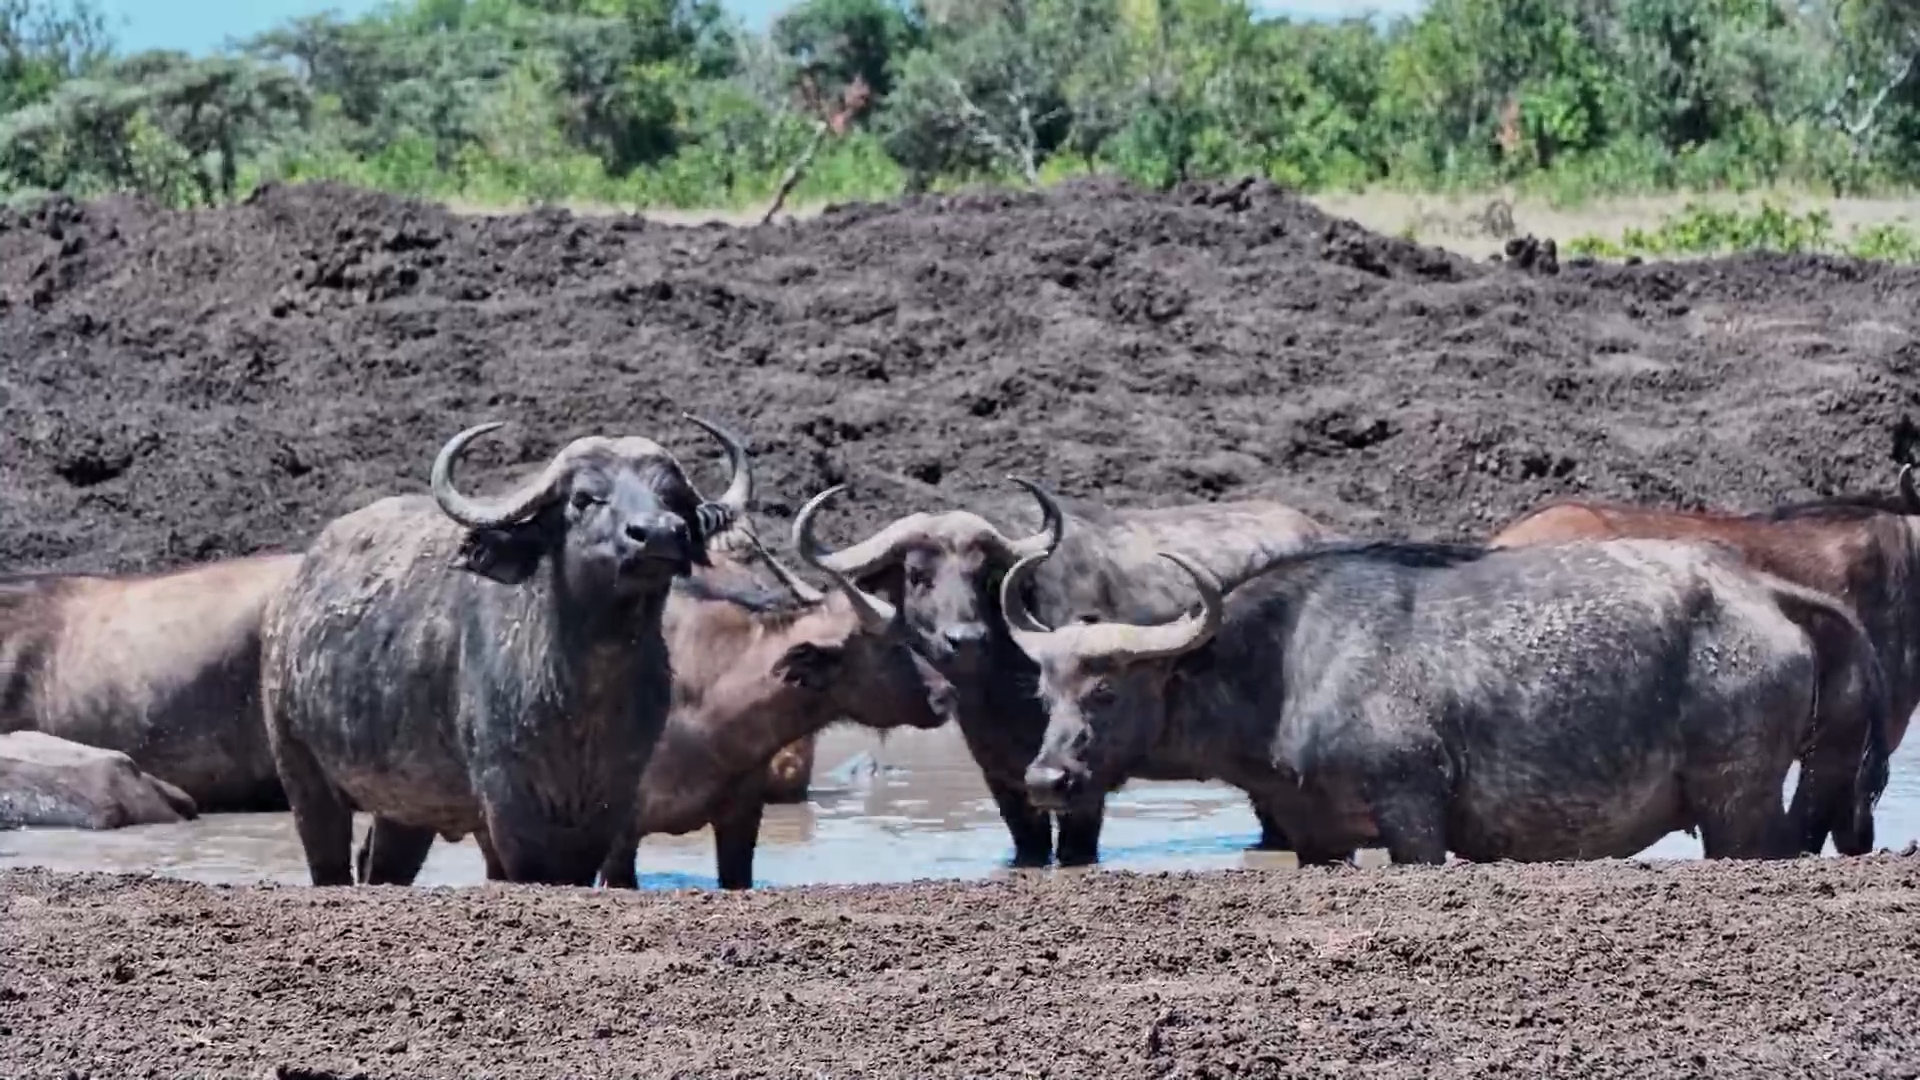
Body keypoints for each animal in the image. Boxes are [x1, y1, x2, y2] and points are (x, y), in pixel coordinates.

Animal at [262, 415, 748, 887]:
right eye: (584, 498)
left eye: (670, 498)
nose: (660, 535)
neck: (586, 692)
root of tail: (289, 599)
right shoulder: (507, 802)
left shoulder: (612, 800)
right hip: (300, 768)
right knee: (327, 856)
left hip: (406, 806)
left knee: (383, 863)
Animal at [795, 482, 1339, 866]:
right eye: (916, 575)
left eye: (981, 576)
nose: (965, 639)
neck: (1000, 689)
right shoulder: (1004, 777)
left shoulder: (1086, 777)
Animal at [1002, 537, 1889, 865]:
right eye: (1045, 690)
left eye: (1106, 690)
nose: (1046, 781)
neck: (1290, 665)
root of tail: (1758, 591)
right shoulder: (1315, 836)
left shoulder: (1413, 813)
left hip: (1733, 806)